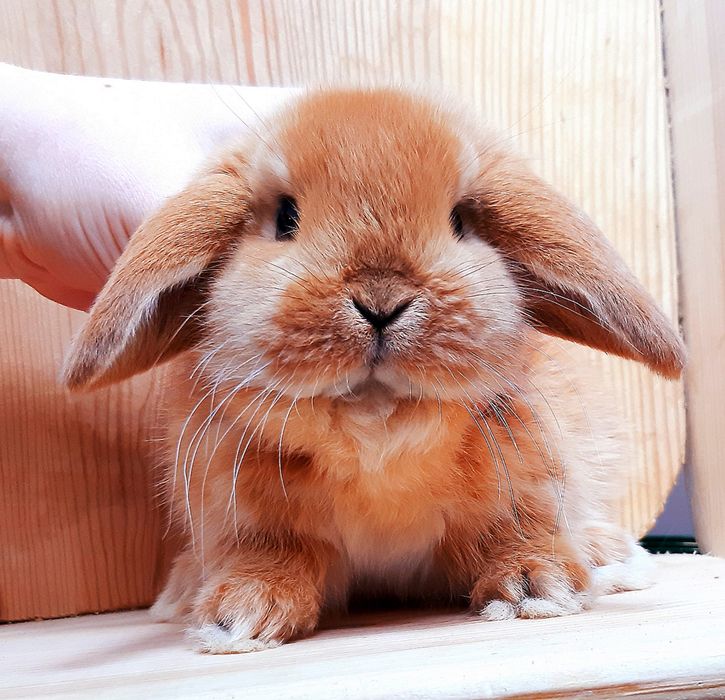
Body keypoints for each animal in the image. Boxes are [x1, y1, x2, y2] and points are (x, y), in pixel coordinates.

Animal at [63, 88, 684, 654]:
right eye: (285, 217)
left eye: (460, 220)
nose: (381, 299)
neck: (377, 434)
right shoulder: (245, 514)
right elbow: (271, 556)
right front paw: (240, 616)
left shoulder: (525, 477)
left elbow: (512, 529)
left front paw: (539, 586)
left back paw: (610, 555)